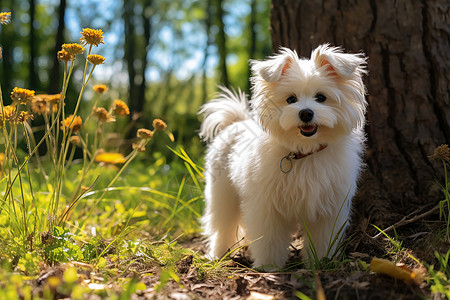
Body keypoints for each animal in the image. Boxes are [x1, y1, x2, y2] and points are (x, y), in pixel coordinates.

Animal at [199, 43, 368, 268]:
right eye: (291, 99)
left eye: (321, 97)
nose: (306, 113)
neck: (304, 153)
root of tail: (237, 122)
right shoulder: (267, 209)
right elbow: (269, 240)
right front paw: (268, 266)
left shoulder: (327, 209)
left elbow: (323, 239)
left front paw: (320, 263)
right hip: (222, 194)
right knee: (222, 227)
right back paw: (218, 255)